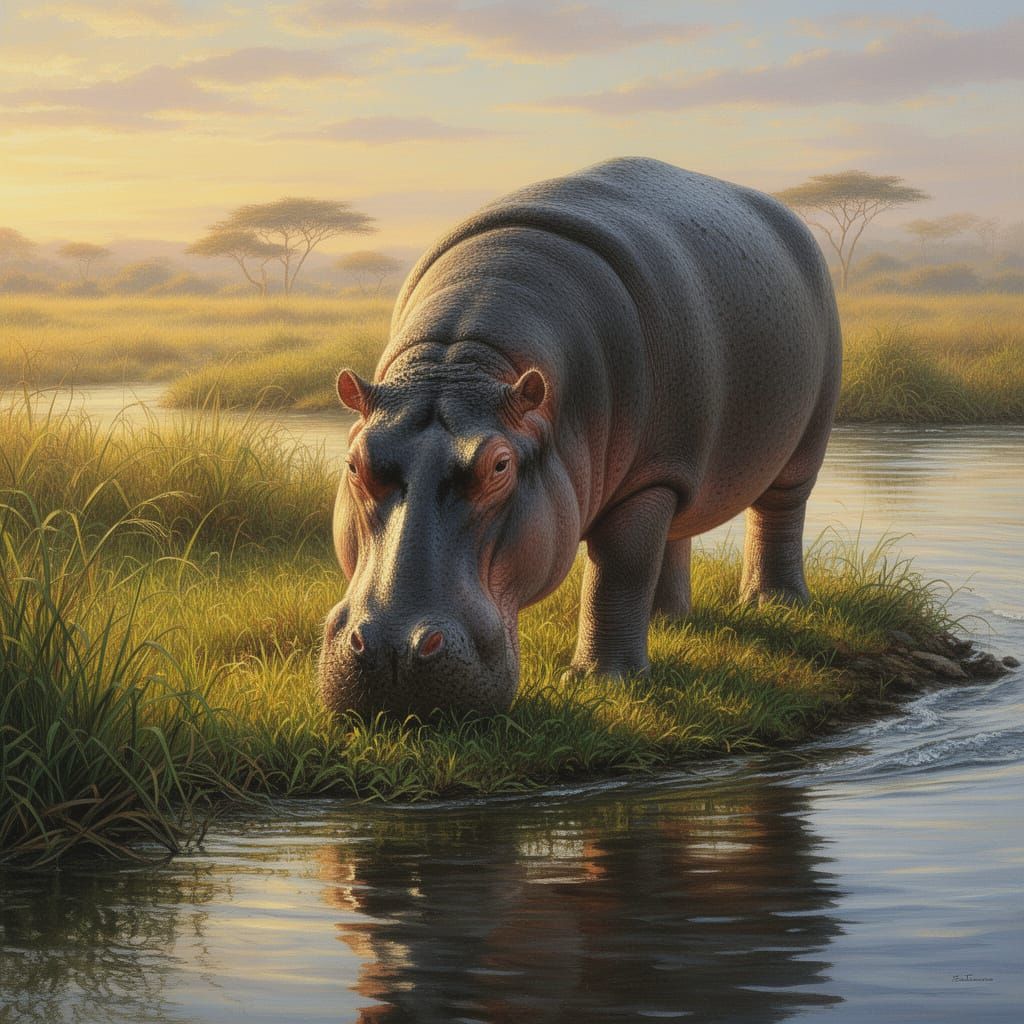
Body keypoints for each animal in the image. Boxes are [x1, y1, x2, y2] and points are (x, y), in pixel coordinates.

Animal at [319, 157, 841, 718]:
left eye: (500, 465)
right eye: (353, 462)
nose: (394, 648)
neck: (463, 358)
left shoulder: (644, 483)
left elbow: (620, 565)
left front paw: (602, 681)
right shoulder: (664, 467)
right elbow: (638, 561)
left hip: (793, 445)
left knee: (779, 512)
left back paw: (773, 603)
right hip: (677, 465)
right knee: (675, 531)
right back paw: (666, 621)